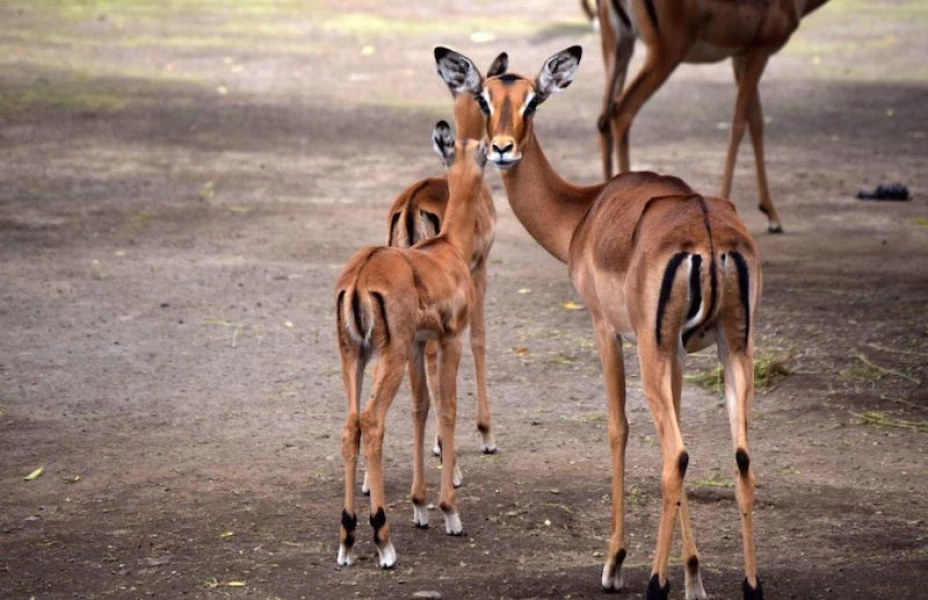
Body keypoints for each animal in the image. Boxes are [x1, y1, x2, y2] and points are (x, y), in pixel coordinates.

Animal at [335, 122, 487, 569]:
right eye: (484, 150)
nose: (506, 152)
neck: (448, 249)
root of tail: (360, 277)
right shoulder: (449, 339)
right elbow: (448, 409)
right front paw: (450, 512)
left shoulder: (421, 344)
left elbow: (421, 408)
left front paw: (420, 506)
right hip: (391, 356)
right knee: (371, 422)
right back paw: (383, 542)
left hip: (355, 356)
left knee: (351, 425)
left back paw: (348, 539)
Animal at [436, 46, 764, 599]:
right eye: (485, 98)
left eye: (533, 101)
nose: (501, 149)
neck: (584, 213)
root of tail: (706, 232)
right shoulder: (676, 352)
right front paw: (695, 575)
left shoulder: (606, 330)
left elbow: (617, 429)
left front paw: (615, 563)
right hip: (734, 351)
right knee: (740, 457)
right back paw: (751, 586)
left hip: (655, 352)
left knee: (676, 455)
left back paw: (652, 583)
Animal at [596, 0, 831, 233]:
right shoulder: (759, 52)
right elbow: (739, 124)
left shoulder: (740, 57)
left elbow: (756, 122)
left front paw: (772, 215)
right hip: (665, 54)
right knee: (622, 111)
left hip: (618, 48)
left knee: (604, 120)